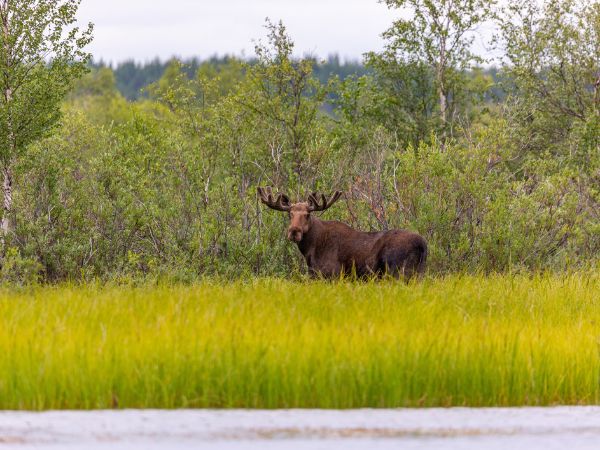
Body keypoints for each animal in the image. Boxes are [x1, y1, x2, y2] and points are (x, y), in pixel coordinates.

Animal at [256, 185, 426, 278]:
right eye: (290, 214)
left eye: (308, 214)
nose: (294, 232)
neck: (310, 249)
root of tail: (423, 245)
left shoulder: (332, 274)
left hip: (398, 271)